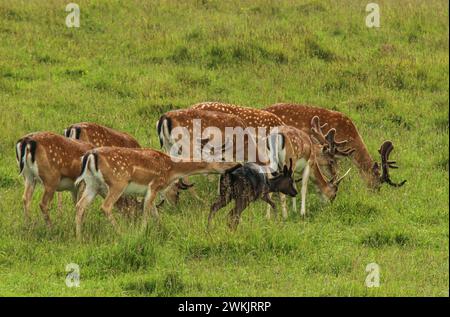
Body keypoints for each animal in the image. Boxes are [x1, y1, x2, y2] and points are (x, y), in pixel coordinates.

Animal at [74, 147, 241, 238]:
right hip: (117, 182)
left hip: (92, 184)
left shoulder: (152, 191)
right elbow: (147, 211)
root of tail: (89, 156)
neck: (171, 169)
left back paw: (79, 237)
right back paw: (121, 233)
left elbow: (155, 212)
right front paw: (141, 233)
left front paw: (163, 231)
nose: (237, 164)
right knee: (105, 206)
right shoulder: (154, 185)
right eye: (222, 159)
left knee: (80, 205)